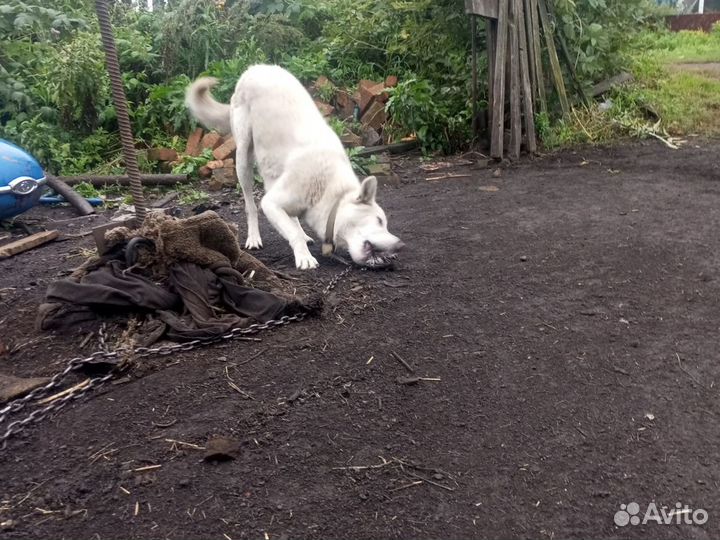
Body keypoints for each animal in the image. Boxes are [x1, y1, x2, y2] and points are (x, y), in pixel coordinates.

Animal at [184, 65, 404, 270]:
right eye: (379, 221)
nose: (401, 246)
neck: (328, 190)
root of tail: (254, 68)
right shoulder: (270, 203)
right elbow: (290, 232)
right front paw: (305, 258)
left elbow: (292, 225)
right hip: (243, 160)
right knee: (250, 206)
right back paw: (254, 238)